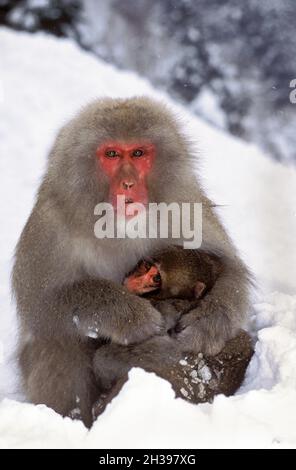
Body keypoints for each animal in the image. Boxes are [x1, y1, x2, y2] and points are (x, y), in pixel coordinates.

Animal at [12, 97, 251, 428]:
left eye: (138, 153)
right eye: (112, 154)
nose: (128, 183)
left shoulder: (187, 205)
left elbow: (230, 269)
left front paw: (207, 324)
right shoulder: (50, 222)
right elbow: (39, 303)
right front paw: (130, 316)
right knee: (58, 339)